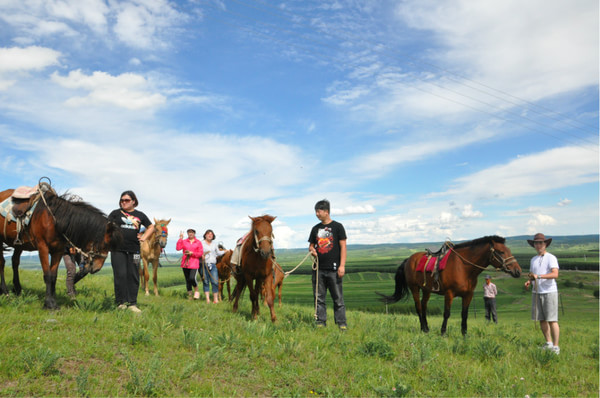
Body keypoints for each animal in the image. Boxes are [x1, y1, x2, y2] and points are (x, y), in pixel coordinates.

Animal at [380, 236, 520, 336]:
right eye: (501, 252)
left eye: (509, 250)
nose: (517, 271)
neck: (463, 267)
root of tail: (408, 260)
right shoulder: (449, 294)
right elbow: (446, 313)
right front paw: (443, 332)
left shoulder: (468, 295)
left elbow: (464, 314)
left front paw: (464, 334)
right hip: (414, 288)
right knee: (418, 307)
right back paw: (423, 329)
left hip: (426, 290)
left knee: (424, 306)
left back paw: (426, 328)